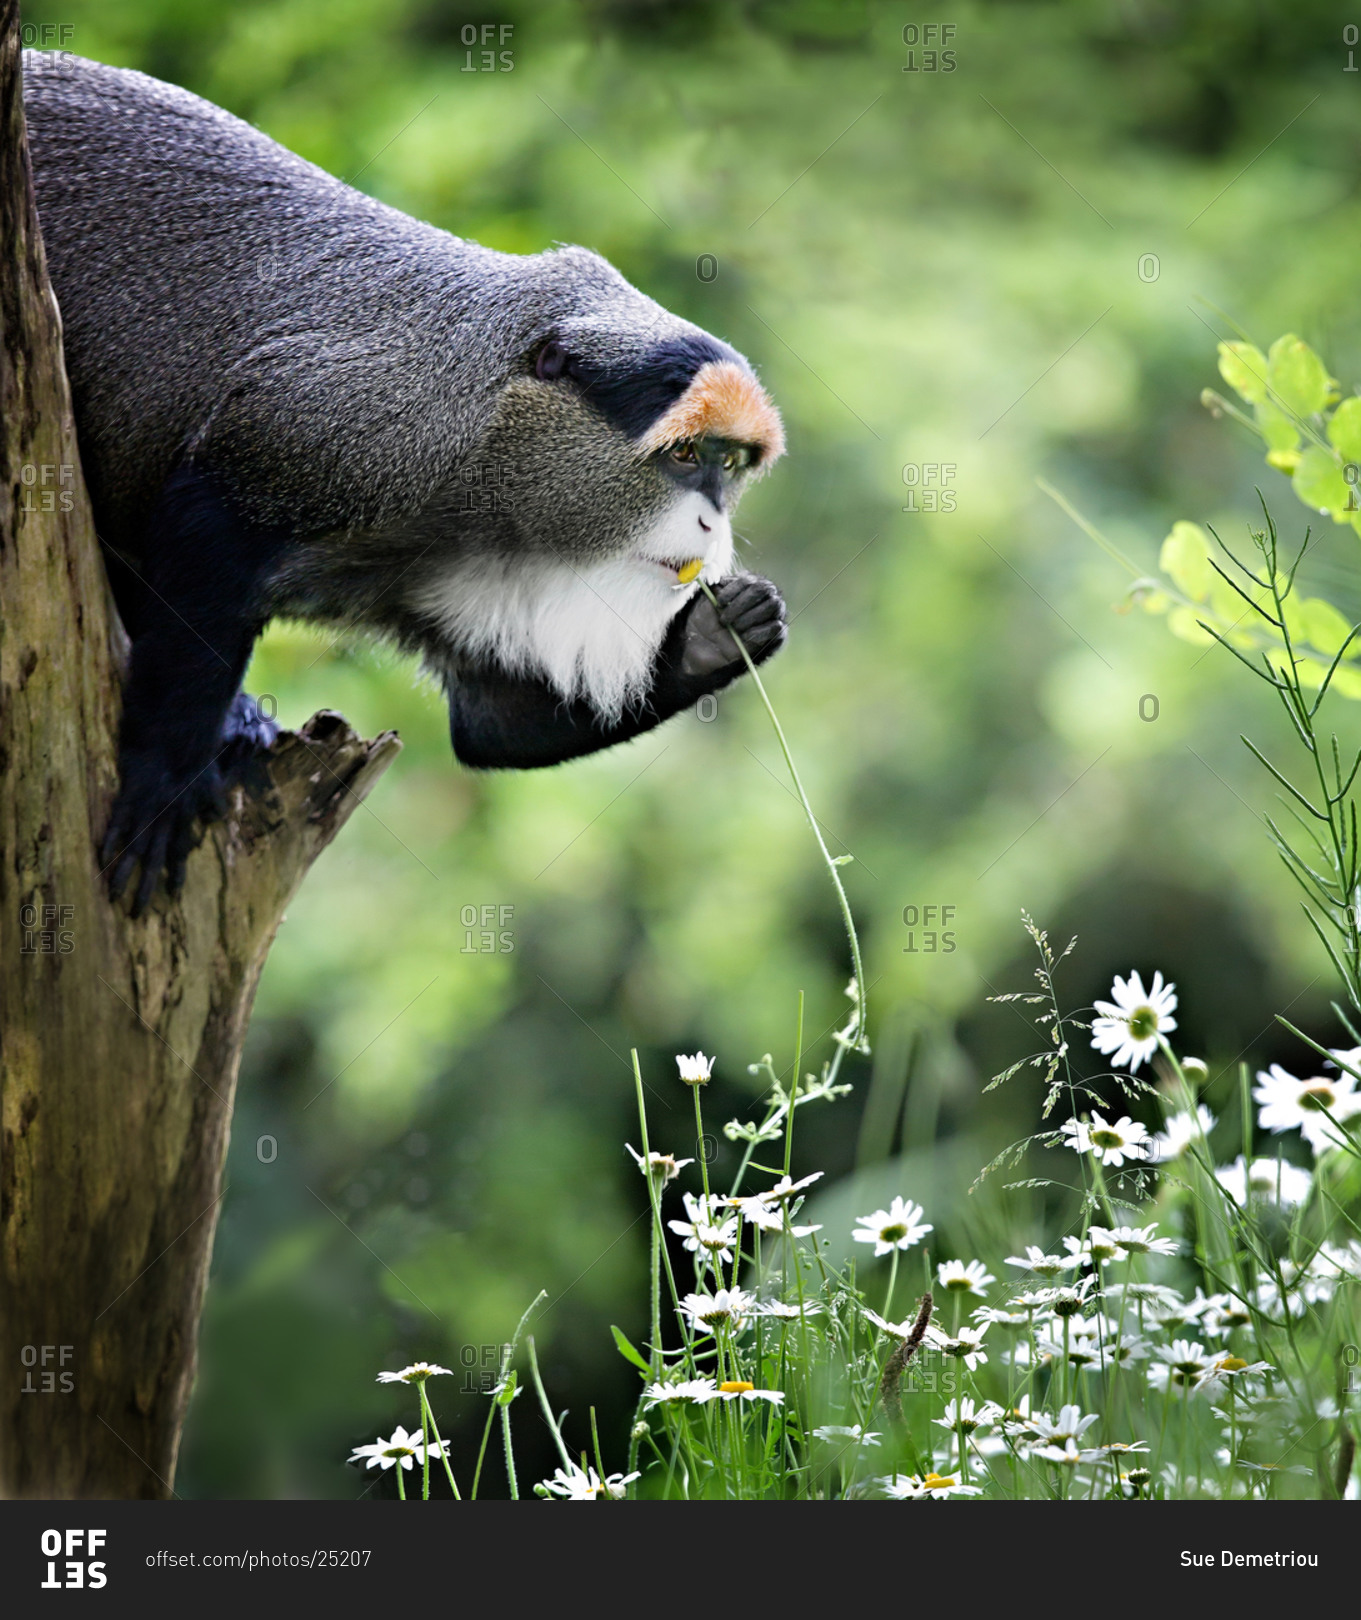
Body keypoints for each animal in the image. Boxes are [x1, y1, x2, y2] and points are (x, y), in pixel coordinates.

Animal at [18, 50, 787, 913]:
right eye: (684, 457)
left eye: (730, 463)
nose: (712, 525)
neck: (488, 455)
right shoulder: (333, 430)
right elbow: (203, 525)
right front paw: (163, 784)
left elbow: (491, 722)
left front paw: (714, 637)